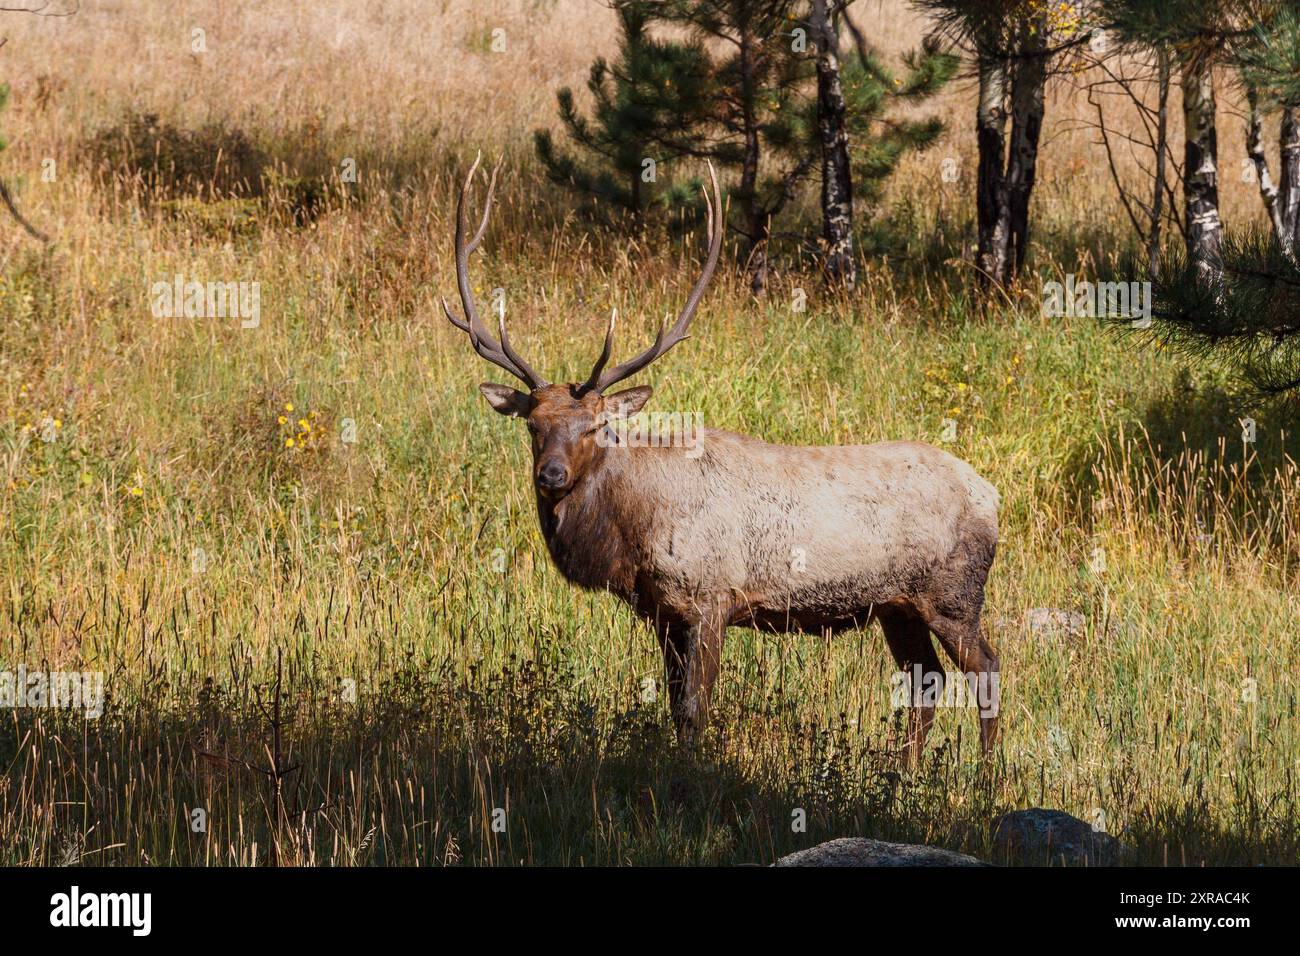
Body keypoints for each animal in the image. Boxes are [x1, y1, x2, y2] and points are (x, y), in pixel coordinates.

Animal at [444, 156, 1002, 761]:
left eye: (597, 426)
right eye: (532, 424)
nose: (551, 475)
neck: (635, 531)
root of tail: (993, 497)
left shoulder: (711, 597)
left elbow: (694, 709)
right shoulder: (665, 613)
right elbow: (672, 706)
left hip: (953, 592)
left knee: (986, 669)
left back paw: (985, 774)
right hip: (897, 606)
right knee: (927, 682)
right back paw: (907, 771)